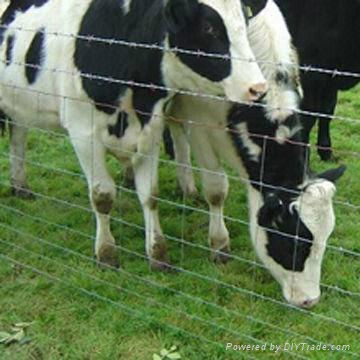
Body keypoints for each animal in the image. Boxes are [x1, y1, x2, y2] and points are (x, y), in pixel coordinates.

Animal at [0, 0, 268, 268]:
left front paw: (157, 252)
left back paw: (20, 185)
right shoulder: (83, 134)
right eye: (208, 27)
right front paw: (106, 252)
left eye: (245, 20)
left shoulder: (151, 131)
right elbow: (102, 196)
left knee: (18, 136)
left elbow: (150, 195)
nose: (258, 88)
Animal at [167, 0, 346, 310]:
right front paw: (219, 244)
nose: (310, 301)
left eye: (326, 238)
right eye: (294, 242)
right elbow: (216, 189)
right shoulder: (199, 119)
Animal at [274, 0, 360, 160]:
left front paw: (325, 149)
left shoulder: (331, 72)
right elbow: (309, 117)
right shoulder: (312, 69)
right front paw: (303, 159)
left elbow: (327, 110)